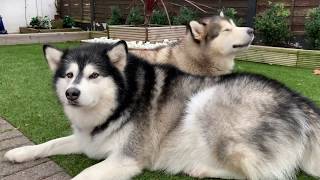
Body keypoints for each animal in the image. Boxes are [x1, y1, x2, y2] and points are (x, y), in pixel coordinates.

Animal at [4, 41, 320, 179]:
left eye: (94, 75)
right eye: (69, 75)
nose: (72, 93)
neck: (123, 101)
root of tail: (299, 101)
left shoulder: (128, 158)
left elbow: (82, 176)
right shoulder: (88, 140)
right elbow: (50, 143)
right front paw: (20, 152)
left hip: (206, 105)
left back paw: (201, 168)